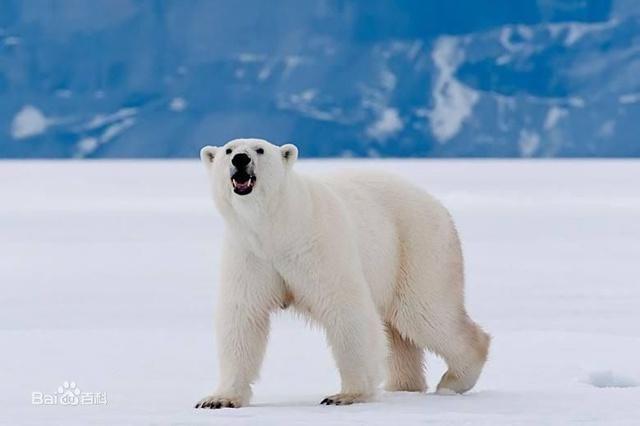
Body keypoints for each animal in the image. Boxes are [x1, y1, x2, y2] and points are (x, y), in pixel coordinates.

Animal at [196, 137, 490, 410]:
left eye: (259, 149)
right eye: (229, 150)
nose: (241, 160)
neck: (276, 228)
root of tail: (433, 201)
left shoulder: (317, 245)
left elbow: (345, 309)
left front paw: (346, 395)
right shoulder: (250, 254)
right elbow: (243, 316)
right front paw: (218, 399)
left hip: (416, 246)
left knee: (425, 313)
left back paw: (453, 380)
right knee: (398, 332)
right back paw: (402, 385)